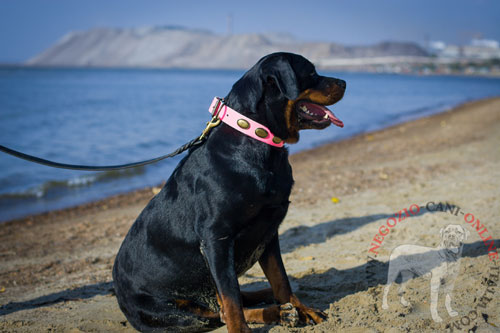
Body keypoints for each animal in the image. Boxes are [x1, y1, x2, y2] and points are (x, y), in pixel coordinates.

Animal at [113, 53, 346, 330]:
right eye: (311, 73)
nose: (344, 82)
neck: (256, 137)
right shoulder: (216, 238)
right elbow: (232, 300)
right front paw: (245, 328)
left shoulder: (269, 231)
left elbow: (281, 280)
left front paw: (301, 308)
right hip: (173, 312)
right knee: (219, 312)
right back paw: (275, 311)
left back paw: (276, 305)